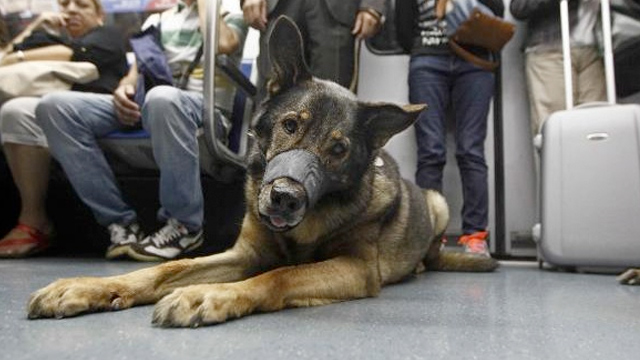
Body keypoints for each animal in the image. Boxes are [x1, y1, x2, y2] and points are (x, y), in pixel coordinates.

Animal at [27, 16, 498, 326]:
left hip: (438, 202)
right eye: (290, 125)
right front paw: (88, 287)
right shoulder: (244, 254)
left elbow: (279, 274)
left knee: (430, 250)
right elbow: (166, 270)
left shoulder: (356, 268)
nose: (285, 198)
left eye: (339, 149)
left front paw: (210, 295)